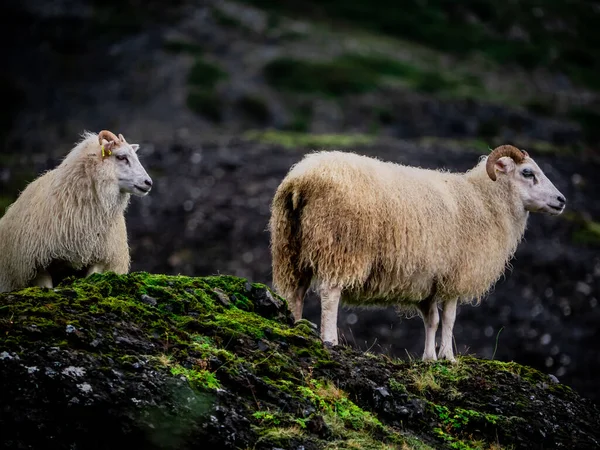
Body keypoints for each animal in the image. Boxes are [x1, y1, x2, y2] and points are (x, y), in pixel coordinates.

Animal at [270, 144, 564, 362]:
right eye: (528, 172)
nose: (562, 200)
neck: (483, 200)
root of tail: (301, 180)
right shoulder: (456, 274)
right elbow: (449, 318)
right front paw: (448, 357)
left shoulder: (428, 283)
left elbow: (431, 320)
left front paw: (429, 358)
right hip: (340, 246)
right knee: (330, 294)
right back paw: (329, 340)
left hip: (290, 248)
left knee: (295, 293)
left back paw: (294, 327)